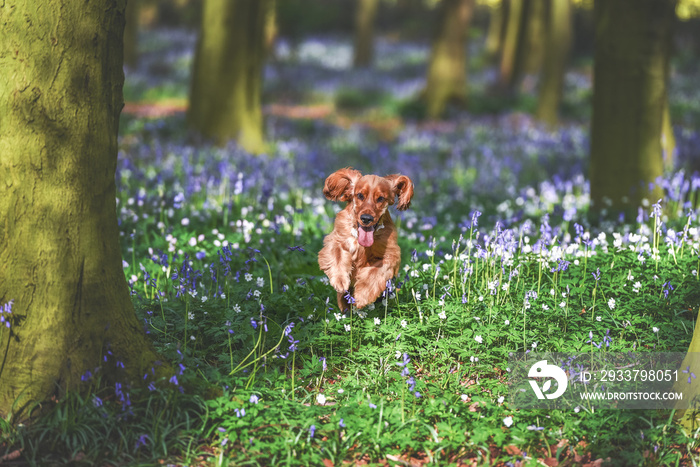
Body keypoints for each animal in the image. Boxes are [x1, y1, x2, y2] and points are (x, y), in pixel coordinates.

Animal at [318, 166, 412, 312]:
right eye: (360, 195)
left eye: (380, 198)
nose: (366, 218)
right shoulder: (336, 239)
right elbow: (337, 255)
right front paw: (340, 281)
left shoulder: (390, 254)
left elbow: (375, 272)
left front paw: (362, 297)